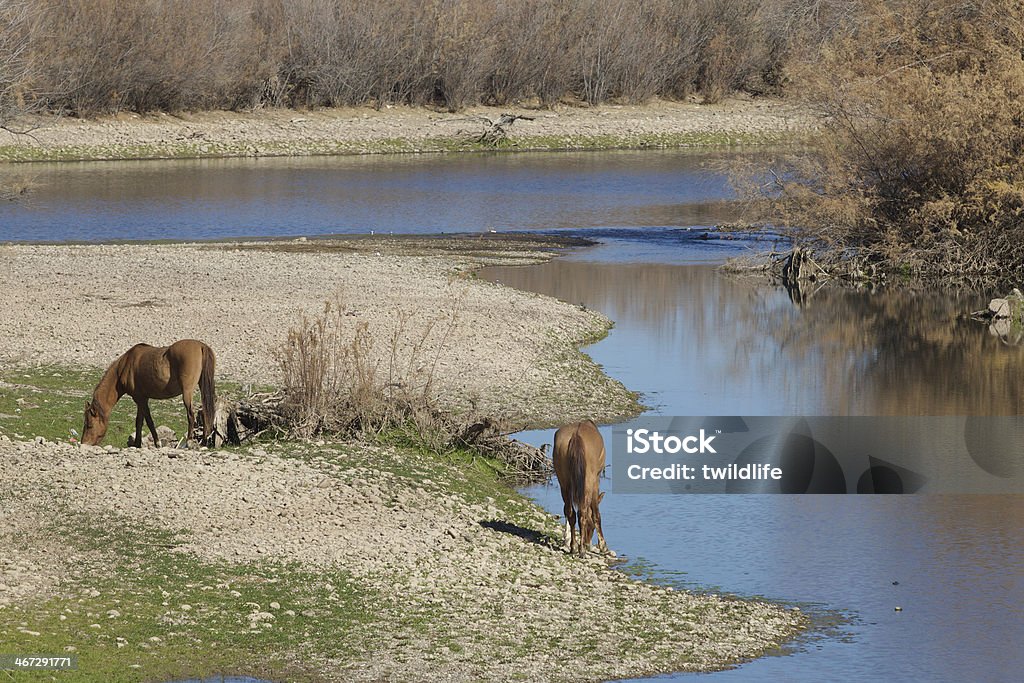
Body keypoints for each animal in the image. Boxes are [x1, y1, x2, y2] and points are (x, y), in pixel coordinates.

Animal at [83, 339, 218, 448]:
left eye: (89, 425)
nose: (84, 443)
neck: (125, 365)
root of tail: (201, 346)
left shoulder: (140, 399)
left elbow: (148, 421)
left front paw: (157, 443)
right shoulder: (142, 399)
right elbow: (139, 421)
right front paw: (137, 444)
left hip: (187, 392)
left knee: (191, 414)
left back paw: (189, 441)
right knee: (206, 411)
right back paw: (204, 441)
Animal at [552, 419, 606, 557]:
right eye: (591, 527)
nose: (588, 544)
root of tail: (576, 436)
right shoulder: (596, 481)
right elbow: (596, 514)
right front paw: (603, 546)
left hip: (564, 483)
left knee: (570, 512)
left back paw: (574, 547)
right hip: (588, 482)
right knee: (582, 512)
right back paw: (581, 550)